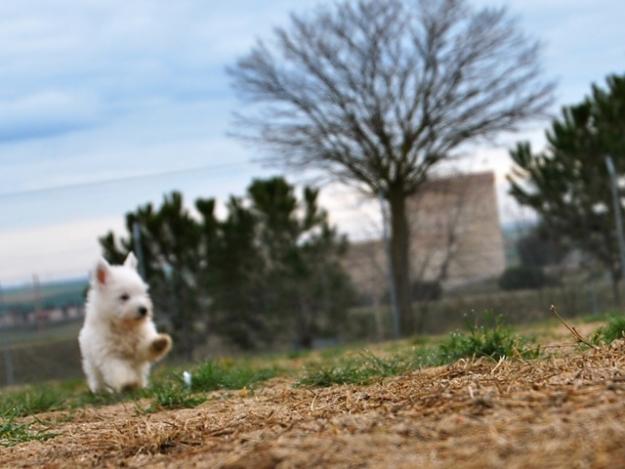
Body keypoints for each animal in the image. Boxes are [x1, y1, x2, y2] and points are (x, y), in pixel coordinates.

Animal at [80, 252, 174, 392]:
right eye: (124, 297)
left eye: (143, 293)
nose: (144, 309)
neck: (125, 325)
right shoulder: (109, 354)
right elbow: (119, 370)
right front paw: (128, 383)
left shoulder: (140, 342)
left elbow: (146, 346)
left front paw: (159, 343)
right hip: (92, 366)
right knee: (97, 379)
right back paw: (101, 390)